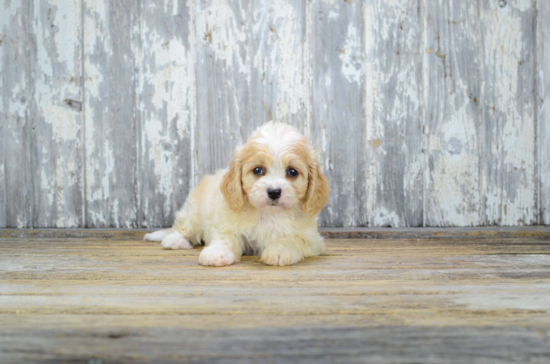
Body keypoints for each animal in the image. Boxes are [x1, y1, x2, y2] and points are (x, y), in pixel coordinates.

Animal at [144, 121, 330, 266]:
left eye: (292, 172)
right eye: (258, 170)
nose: (274, 192)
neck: (269, 214)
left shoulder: (312, 239)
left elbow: (292, 240)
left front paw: (279, 251)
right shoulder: (227, 225)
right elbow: (226, 238)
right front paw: (216, 253)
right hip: (194, 213)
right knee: (181, 227)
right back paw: (175, 241)